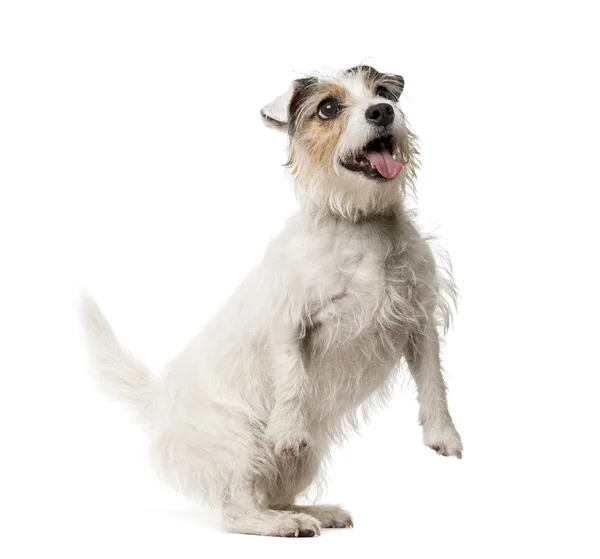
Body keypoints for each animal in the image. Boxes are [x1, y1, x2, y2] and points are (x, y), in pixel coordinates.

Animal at [79, 64, 464, 540]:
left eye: (382, 93)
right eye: (328, 108)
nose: (382, 111)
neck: (360, 224)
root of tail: (160, 401)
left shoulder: (418, 320)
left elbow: (433, 382)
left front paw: (443, 434)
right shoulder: (289, 323)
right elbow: (293, 380)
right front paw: (288, 428)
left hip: (304, 461)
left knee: (274, 494)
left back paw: (313, 512)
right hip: (242, 442)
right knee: (238, 509)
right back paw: (281, 524)